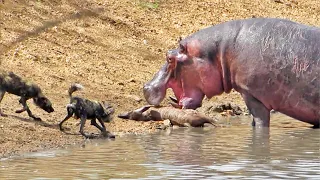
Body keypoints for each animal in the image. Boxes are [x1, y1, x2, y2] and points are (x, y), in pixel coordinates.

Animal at [144, 17, 318, 128]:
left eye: (169, 57)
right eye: (168, 53)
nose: (146, 87)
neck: (220, 50)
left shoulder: (253, 95)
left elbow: (260, 124)